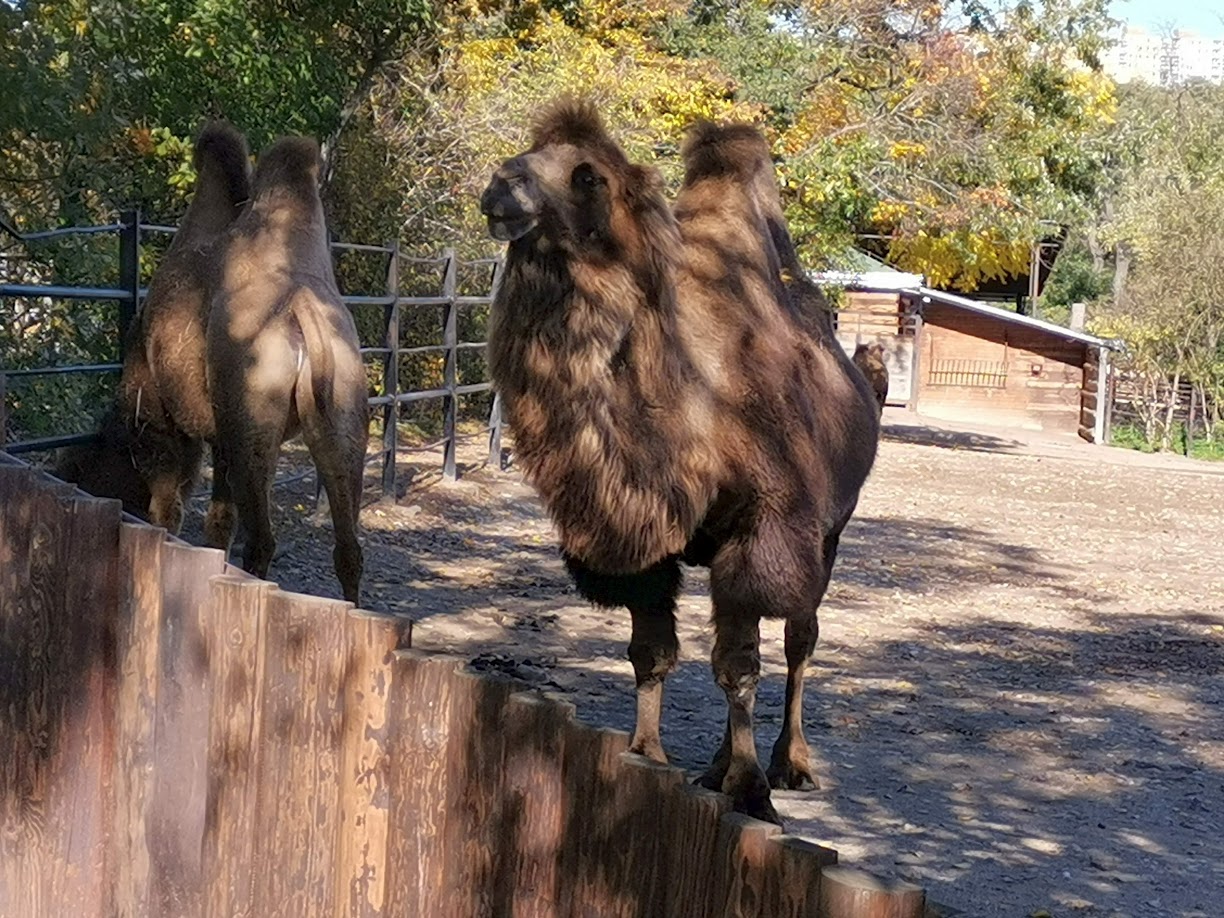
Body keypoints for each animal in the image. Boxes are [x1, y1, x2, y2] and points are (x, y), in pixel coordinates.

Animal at [479, 102, 881, 827]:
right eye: (527, 151)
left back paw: (790, 764)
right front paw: (648, 755)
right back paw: (719, 764)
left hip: (830, 531)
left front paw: (751, 792)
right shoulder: (644, 546)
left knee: (800, 638)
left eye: (589, 175)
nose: (502, 187)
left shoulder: (763, 531)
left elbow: (739, 667)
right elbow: (652, 653)